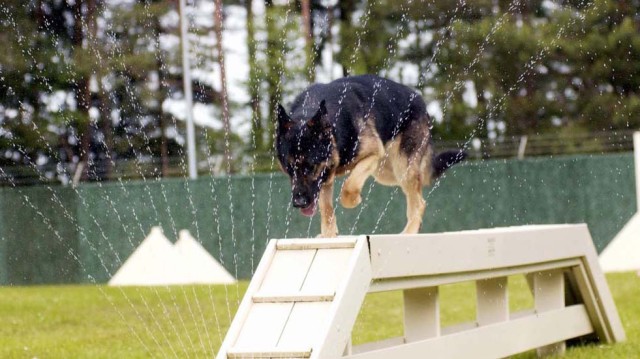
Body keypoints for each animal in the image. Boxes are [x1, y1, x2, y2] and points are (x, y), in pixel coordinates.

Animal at [276, 74, 464, 238]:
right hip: (387, 174)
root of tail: (420, 100)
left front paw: (354, 200)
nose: (299, 203)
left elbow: (349, 188)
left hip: (402, 167)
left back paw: (410, 231)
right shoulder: (324, 179)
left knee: (419, 201)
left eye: (310, 166)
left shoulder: (372, 154)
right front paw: (329, 236)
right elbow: (327, 210)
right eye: (289, 169)